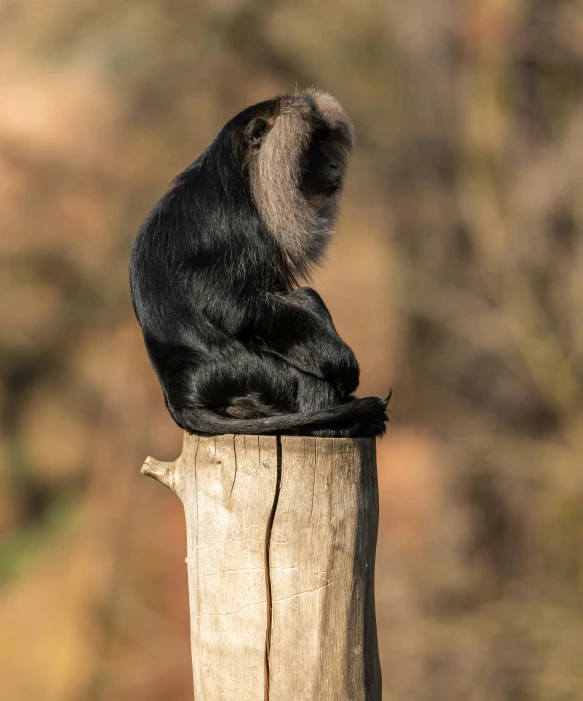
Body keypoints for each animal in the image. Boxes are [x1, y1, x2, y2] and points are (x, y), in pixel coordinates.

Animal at [130, 88, 390, 438]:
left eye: (324, 142)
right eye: (311, 146)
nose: (333, 165)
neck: (241, 180)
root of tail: (179, 393)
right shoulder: (242, 228)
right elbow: (232, 305)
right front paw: (341, 364)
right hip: (256, 377)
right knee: (303, 308)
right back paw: (330, 425)